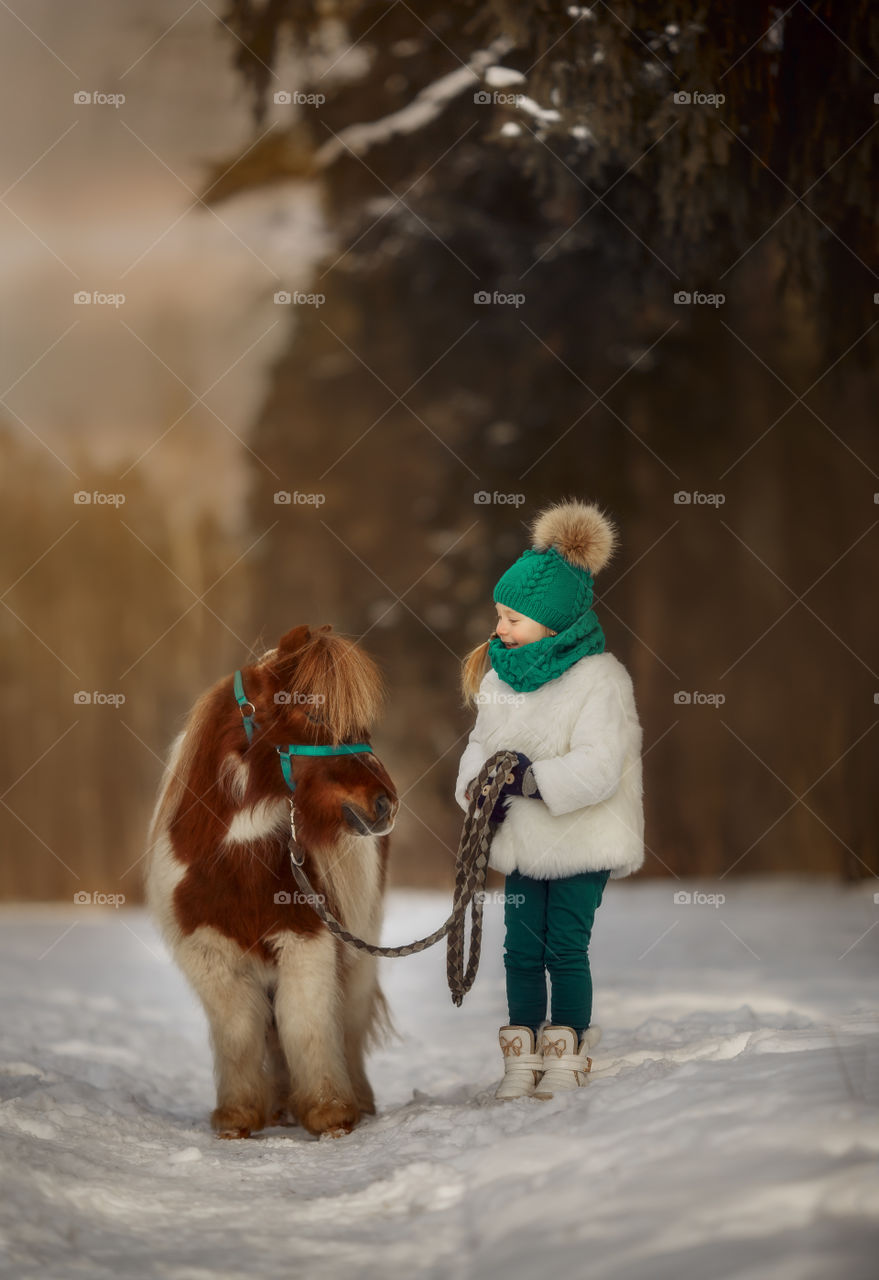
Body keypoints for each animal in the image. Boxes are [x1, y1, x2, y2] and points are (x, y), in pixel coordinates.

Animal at [144, 624, 399, 1136]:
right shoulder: (211, 955)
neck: (231, 862)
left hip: (361, 954)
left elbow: (308, 1022)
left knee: (348, 1022)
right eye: (314, 713)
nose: (385, 804)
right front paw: (238, 1116)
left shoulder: (305, 941)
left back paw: (356, 1099)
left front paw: (329, 1111)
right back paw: (282, 1104)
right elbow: (240, 1031)